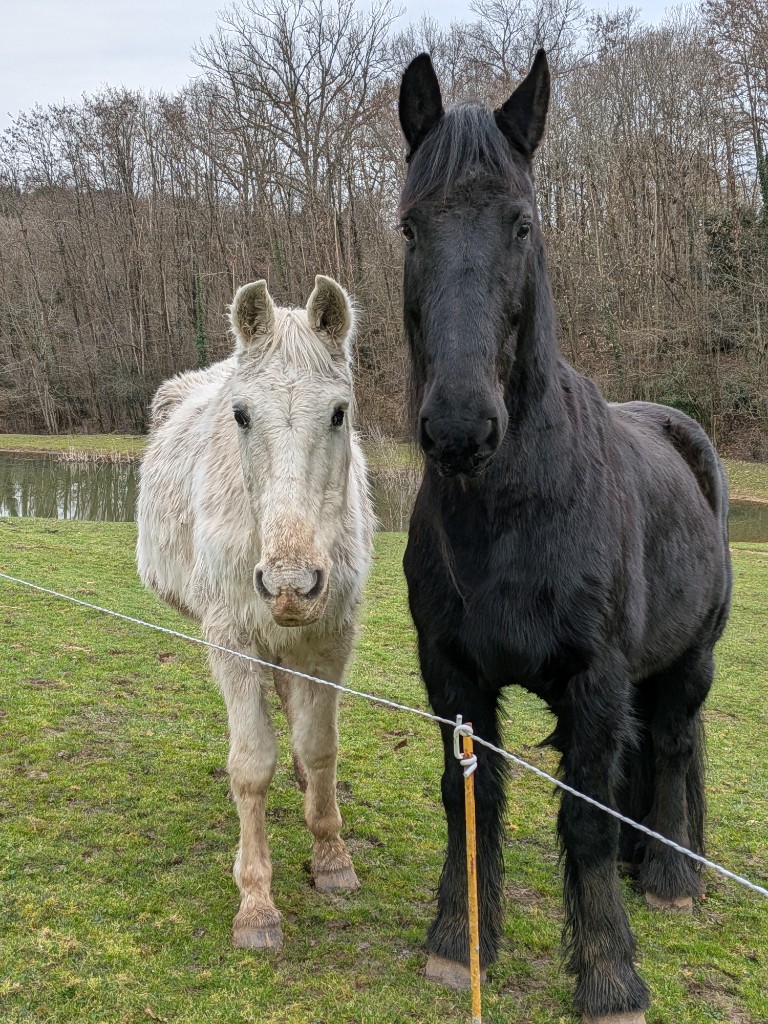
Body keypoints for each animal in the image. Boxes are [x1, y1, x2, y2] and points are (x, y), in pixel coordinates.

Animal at [136, 276, 374, 950]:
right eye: (241, 414)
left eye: (339, 412)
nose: (291, 585)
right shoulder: (233, 638)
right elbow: (249, 767)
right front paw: (256, 903)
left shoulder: (330, 638)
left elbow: (320, 746)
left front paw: (331, 856)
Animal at [397, 51, 732, 1023]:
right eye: (409, 227)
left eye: (522, 224)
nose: (460, 427)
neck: (514, 514)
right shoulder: (454, 676)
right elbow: (468, 802)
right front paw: (456, 943)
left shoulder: (596, 678)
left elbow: (582, 817)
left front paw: (611, 976)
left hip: (687, 661)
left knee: (673, 746)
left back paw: (669, 877)